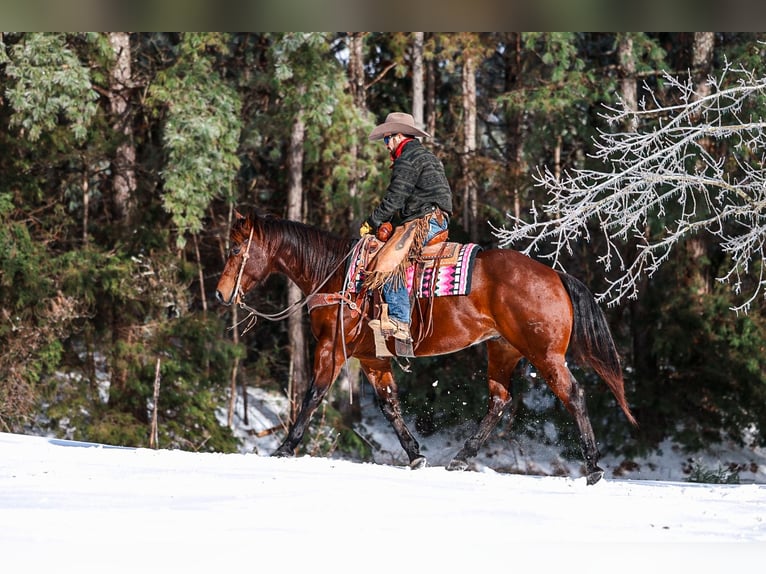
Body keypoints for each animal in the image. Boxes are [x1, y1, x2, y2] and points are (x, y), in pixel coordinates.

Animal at [215, 211, 637, 485]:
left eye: (236, 249)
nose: (220, 293)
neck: (335, 275)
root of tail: (555, 275)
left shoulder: (331, 350)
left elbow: (312, 395)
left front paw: (285, 447)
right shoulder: (372, 358)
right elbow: (389, 405)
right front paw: (415, 454)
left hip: (544, 355)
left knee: (573, 395)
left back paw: (594, 468)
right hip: (503, 350)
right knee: (498, 401)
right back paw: (461, 458)